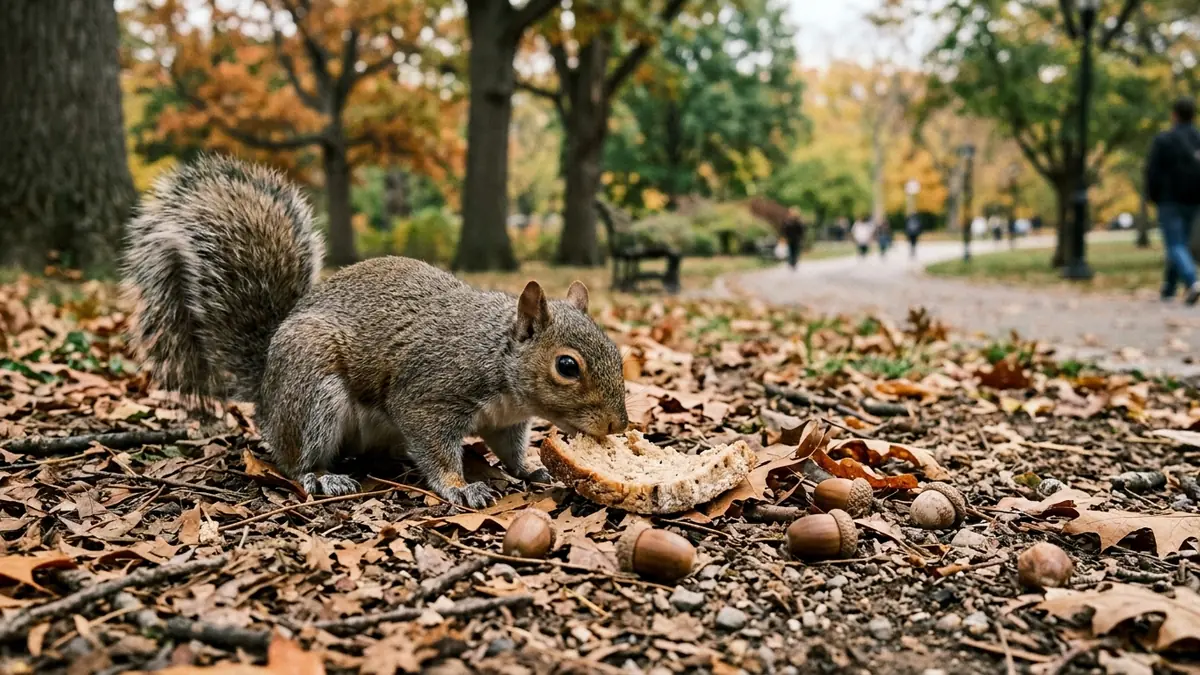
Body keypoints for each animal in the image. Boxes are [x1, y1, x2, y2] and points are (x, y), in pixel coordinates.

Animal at [122, 155, 629, 507]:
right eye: (567, 366)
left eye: (616, 352)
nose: (618, 425)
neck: (496, 356)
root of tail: (265, 386)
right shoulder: (429, 396)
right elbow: (435, 447)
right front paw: (460, 486)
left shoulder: (506, 421)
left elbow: (510, 449)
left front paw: (529, 469)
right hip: (313, 394)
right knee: (293, 460)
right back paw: (321, 475)